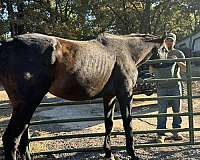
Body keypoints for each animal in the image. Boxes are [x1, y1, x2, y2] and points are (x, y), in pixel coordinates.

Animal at [0, 32, 162, 160]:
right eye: (164, 49)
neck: (126, 51)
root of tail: (7, 45)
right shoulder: (125, 94)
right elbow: (128, 123)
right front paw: (132, 153)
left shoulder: (109, 96)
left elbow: (108, 124)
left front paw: (108, 153)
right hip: (28, 104)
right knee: (11, 139)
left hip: (23, 105)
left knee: (22, 139)